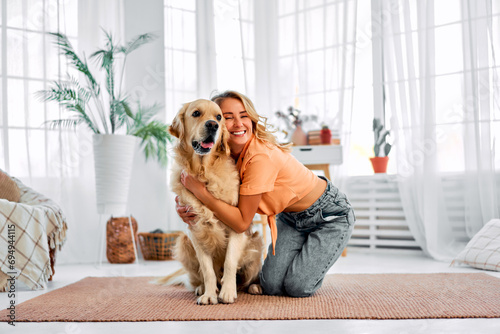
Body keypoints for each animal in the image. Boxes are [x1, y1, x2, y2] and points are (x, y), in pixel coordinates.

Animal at [159, 99, 262, 306]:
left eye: (219, 117)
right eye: (196, 113)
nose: (213, 125)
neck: (203, 171)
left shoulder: (237, 228)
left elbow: (229, 262)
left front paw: (228, 292)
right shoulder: (195, 230)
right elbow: (207, 270)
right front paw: (209, 295)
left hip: (256, 242)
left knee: (247, 279)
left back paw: (254, 287)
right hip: (183, 243)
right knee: (199, 276)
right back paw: (202, 288)